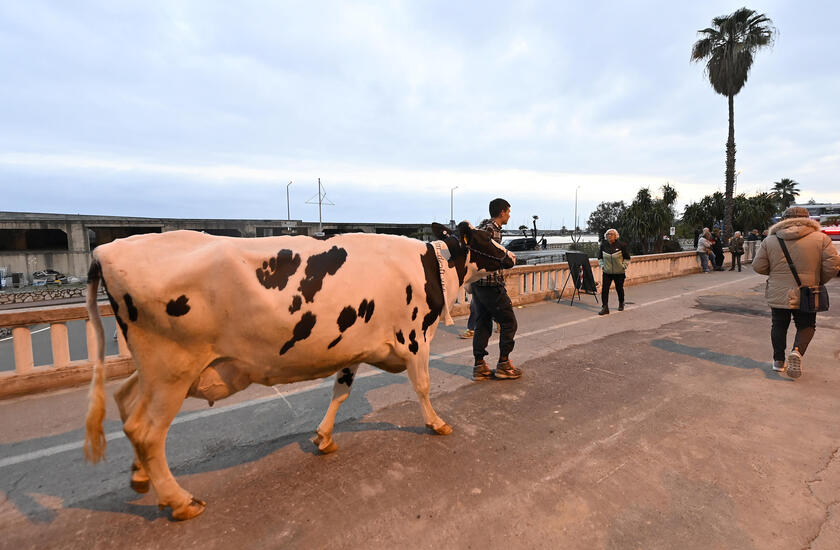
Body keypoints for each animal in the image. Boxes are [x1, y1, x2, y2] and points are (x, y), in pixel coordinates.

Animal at [83, 221, 512, 520]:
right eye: (485, 238)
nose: (510, 258)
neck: (431, 266)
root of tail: (106, 248)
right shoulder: (414, 338)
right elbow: (422, 385)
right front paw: (437, 423)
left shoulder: (353, 344)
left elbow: (341, 391)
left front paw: (323, 438)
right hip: (172, 369)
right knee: (146, 430)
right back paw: (180, 501)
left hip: (155, 371)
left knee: (125, 401)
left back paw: (141, 477)